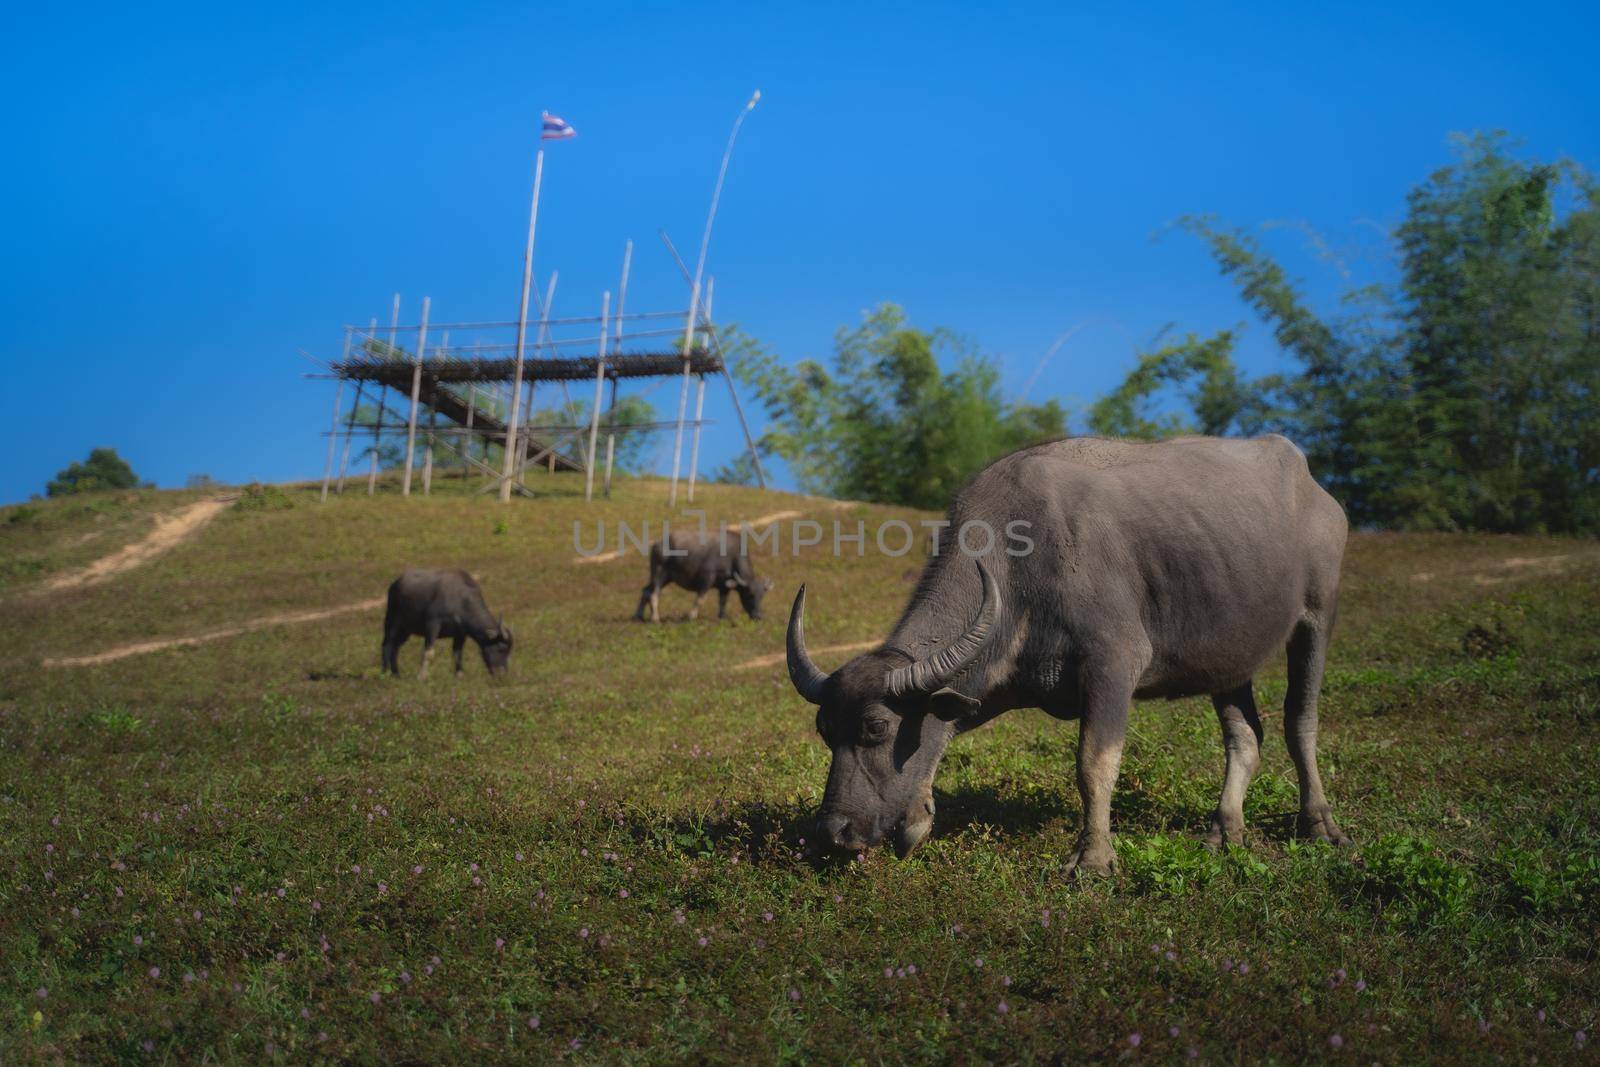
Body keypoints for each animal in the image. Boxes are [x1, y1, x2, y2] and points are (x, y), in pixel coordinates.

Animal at [380, 566, 512, 675]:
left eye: (509, 651)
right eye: (501, 648)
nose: (501, 674)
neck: (461, 600)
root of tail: (395, 584)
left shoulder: (460, 634)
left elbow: (457, 654)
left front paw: (459, 676)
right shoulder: (432, 625)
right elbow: (429, 653)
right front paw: (422, 676)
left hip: (406, 630)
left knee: (396, 647)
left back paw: (396, 674)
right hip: (392, 623)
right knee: (387, 645)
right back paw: (385, 673)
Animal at [633, 531, 771, 620]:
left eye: (762, 596)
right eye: (749, 594)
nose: (758, 616)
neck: (731, 557)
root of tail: (657, 544)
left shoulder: (724, 587)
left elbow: (723, 601)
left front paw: (722, 616)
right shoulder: (706, 579)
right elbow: (700, 599)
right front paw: (692, 615)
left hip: (665, 577)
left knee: (645, 590)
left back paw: (638, 615)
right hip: (659, 574)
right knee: (654, 594)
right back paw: (655, 617)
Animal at [787, 435, 1350, 876]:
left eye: (876, 728)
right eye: (825, 730)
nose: (832, 831)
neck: (1021, 564)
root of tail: (1313, 487)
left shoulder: (1114, 665)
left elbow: (1094, 764)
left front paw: (1094, 859)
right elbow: (936, 740)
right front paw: (917, 819)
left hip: (1317, 616)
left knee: (1300, 721)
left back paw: (1320, 824)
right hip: (1230, 656)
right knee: (1245, 737)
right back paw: (1224, 830)